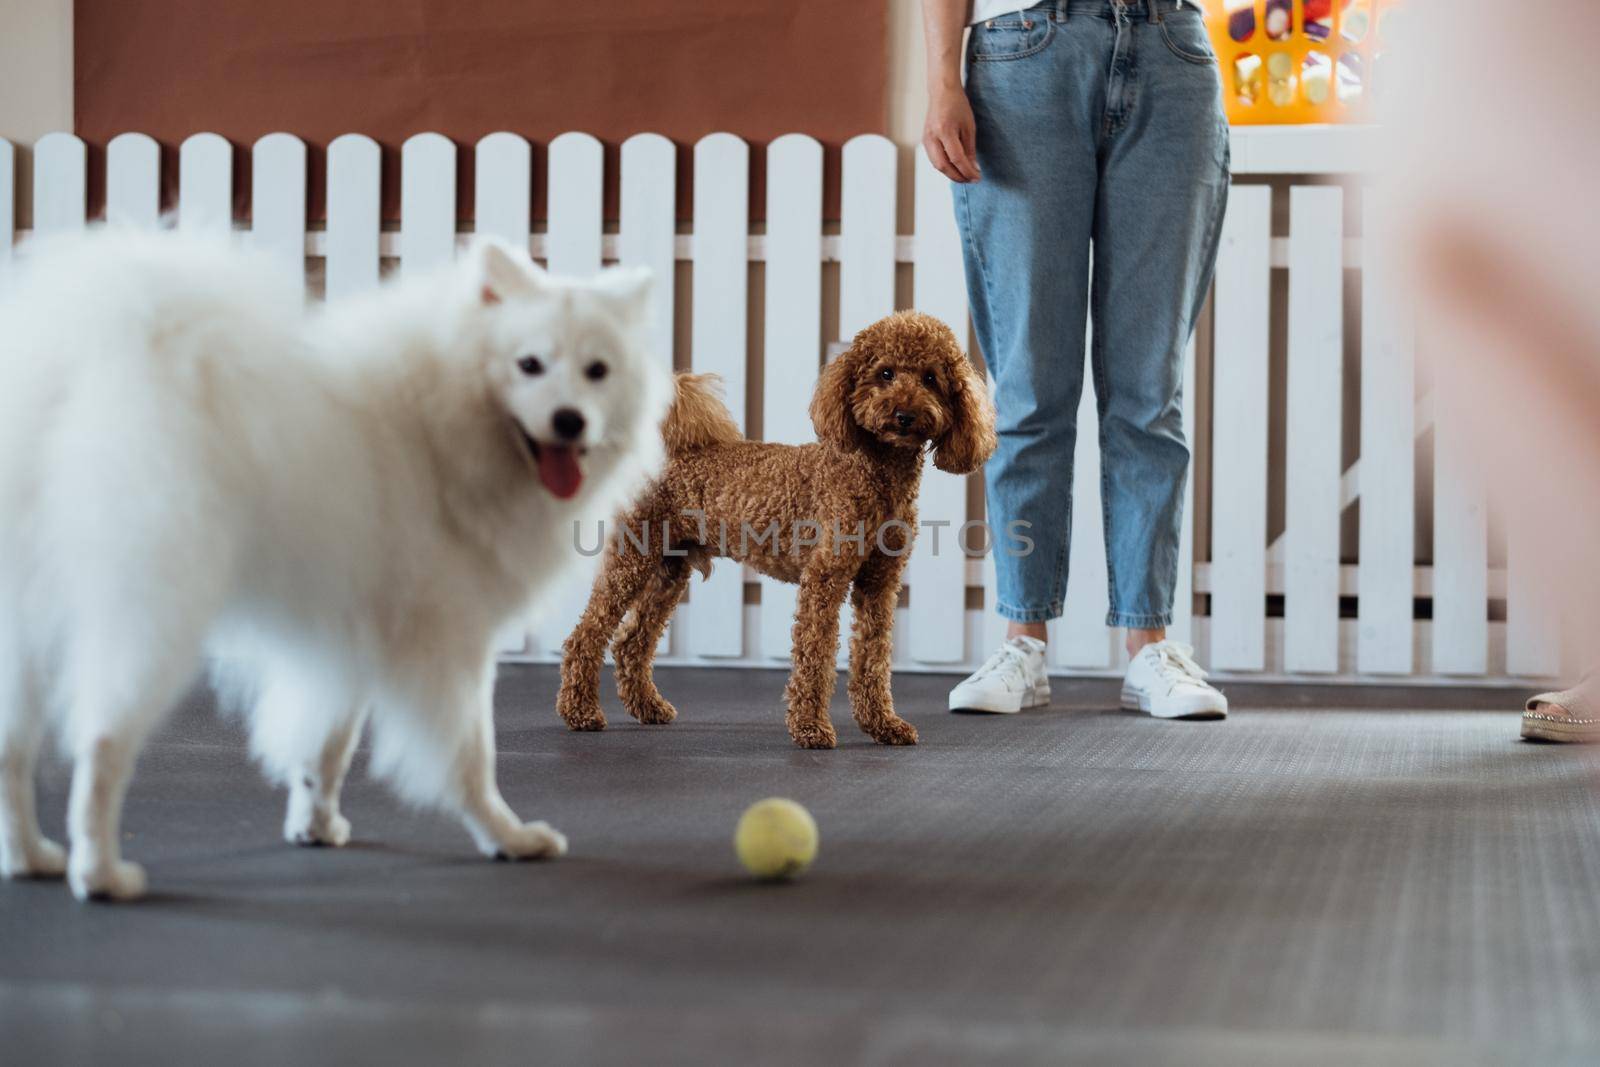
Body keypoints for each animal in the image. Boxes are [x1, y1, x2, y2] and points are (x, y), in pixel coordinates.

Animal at [0, 231, 668, 902]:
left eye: (598, 371)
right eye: (529, 365)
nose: (570, 420)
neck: (442, 418)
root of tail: (81, 372)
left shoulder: (350, 632)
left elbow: (328, 745)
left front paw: (314, 825)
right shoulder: (448, 640)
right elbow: (470, 755)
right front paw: (507, 836)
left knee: (12, 749)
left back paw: (31, 856)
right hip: (152, 617)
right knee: (101, 743)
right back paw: (100, 873)